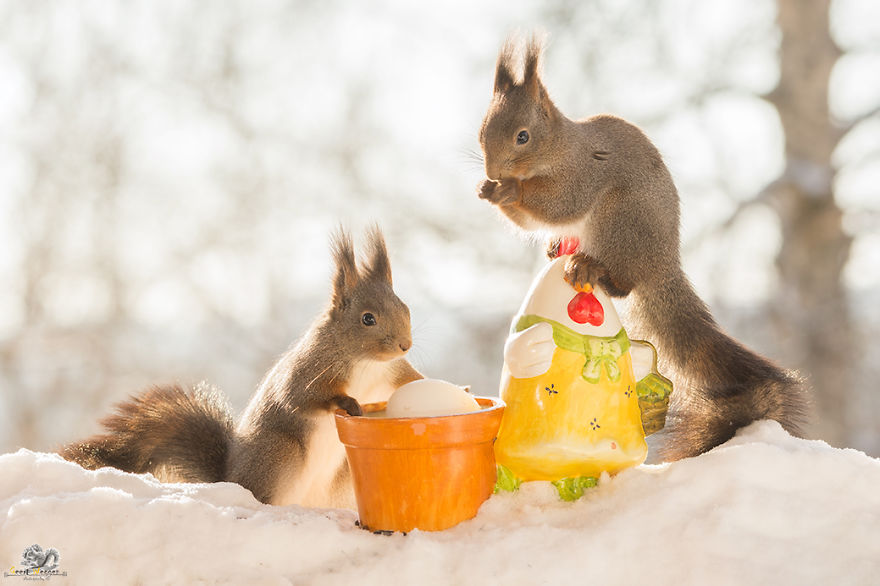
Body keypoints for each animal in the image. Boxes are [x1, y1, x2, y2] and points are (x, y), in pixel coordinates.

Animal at [61, 227, 422, 507]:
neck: (366, 363)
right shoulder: (308, 371)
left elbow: (411, 380)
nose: (405, 345)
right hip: (278, 454)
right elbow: (305, 399)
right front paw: (347, 403)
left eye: (405, 308)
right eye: (367, 319)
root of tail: (231, 478)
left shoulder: (392, 372)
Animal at [476, 36, 808, 460]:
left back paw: (590, 267)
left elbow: (560, 204)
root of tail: (663, 263)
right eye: (482, 132)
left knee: (623, 283)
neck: (561, 148)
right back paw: (559, 248)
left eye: (523, 136)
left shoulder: (584, 175)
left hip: (618, 219)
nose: (493, 172)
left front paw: (508, 191)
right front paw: (489, 189)